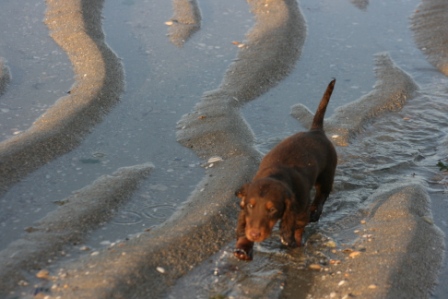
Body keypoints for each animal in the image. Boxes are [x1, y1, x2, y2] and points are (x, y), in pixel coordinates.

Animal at [234, 81, 336, 262]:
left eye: (272, 210)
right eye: (251, 206)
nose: (254, 234)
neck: (276, 176)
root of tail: (316, 131)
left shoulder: (299, 213)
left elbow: (296, 229)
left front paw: (293, 242)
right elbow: (245, 222)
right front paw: (243, 247)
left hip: (327, 174)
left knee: (322, 195)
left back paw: (315, 211)